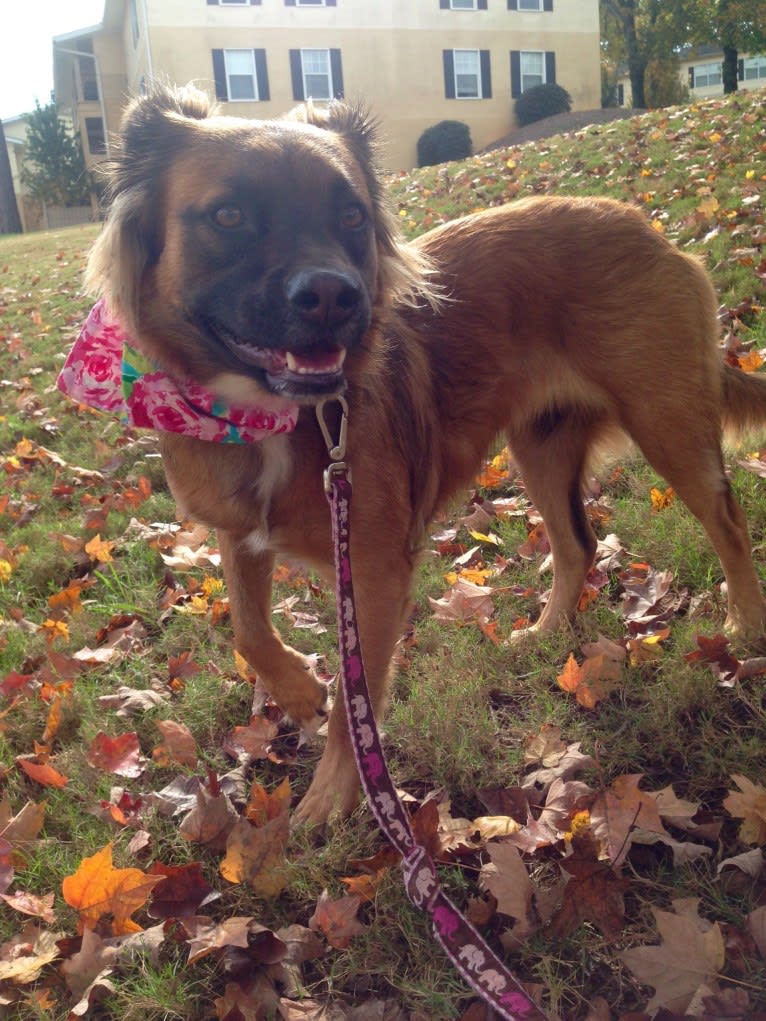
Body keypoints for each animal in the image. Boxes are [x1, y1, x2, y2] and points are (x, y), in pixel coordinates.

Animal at [83, 83, 766, 824]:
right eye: (229, 215)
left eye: (351, 214)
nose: (334, 296)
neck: (272, 413)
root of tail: (645, 225)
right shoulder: (240, 533)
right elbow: (248, 630)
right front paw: (299, 691)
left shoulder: (374, 571)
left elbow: (355, 707)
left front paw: (331, 794)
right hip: (540, 448)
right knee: (577, 544)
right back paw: (547, 633)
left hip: (666, 424)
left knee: (728, 524)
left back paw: (745, 625)